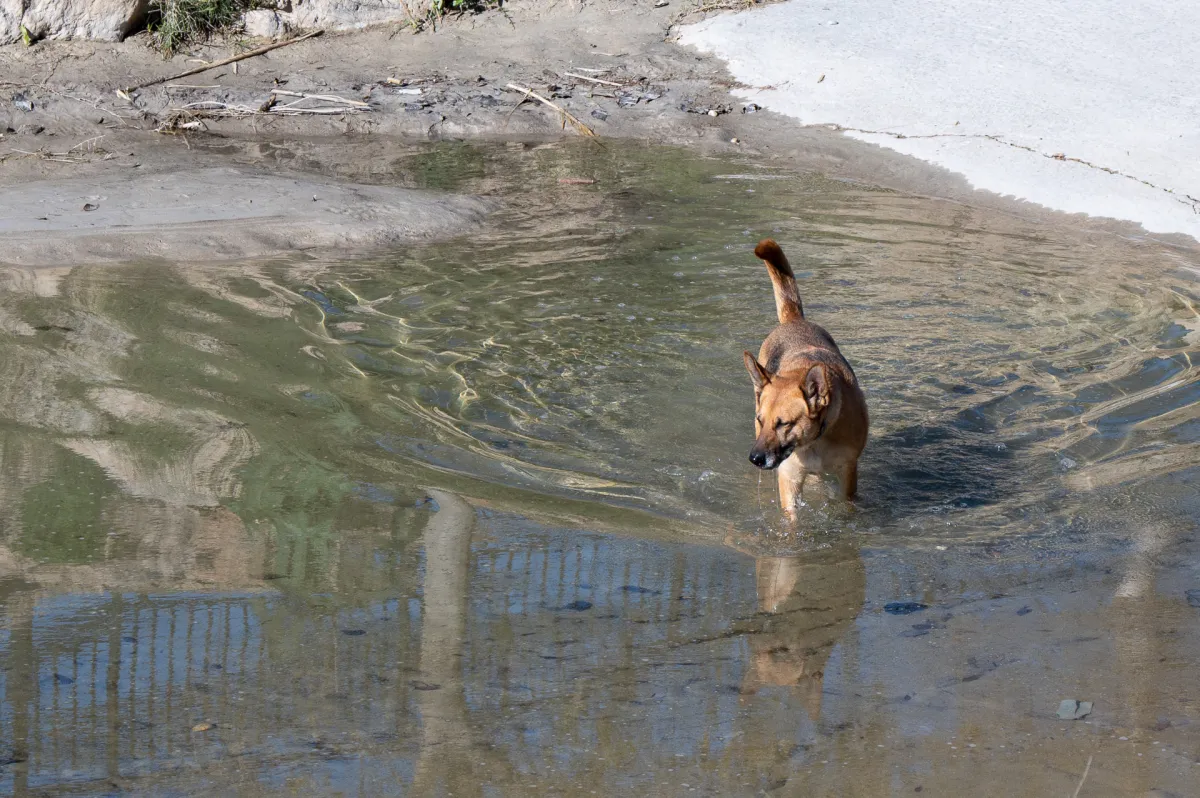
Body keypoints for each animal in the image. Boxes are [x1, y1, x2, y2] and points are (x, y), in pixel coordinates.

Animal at [734, 237, 868, 516]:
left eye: (783, 423)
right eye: (761, 420)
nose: (755, 459)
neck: (815, 441)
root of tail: (794, 320)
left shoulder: (848, 473)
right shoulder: (789, 477)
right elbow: (791, 517)